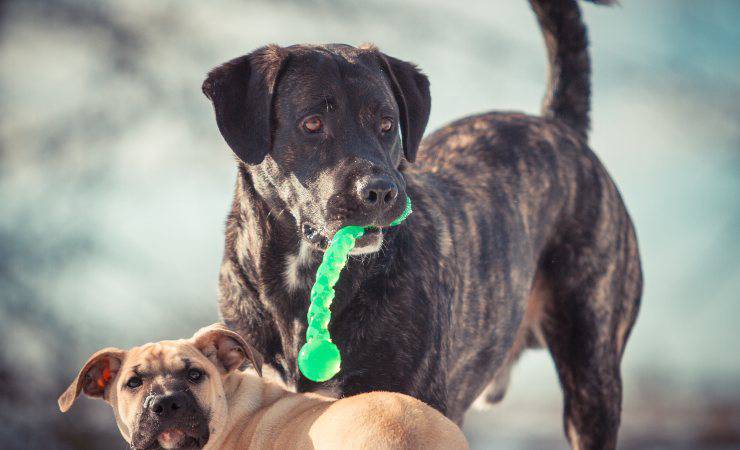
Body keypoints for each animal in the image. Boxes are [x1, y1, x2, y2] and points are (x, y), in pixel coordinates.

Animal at [202, 0, 640, 446]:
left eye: (387, 123)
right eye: (312, 124)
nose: (381, 191)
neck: (302, 278)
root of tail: (559, 126)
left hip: (592, 373)